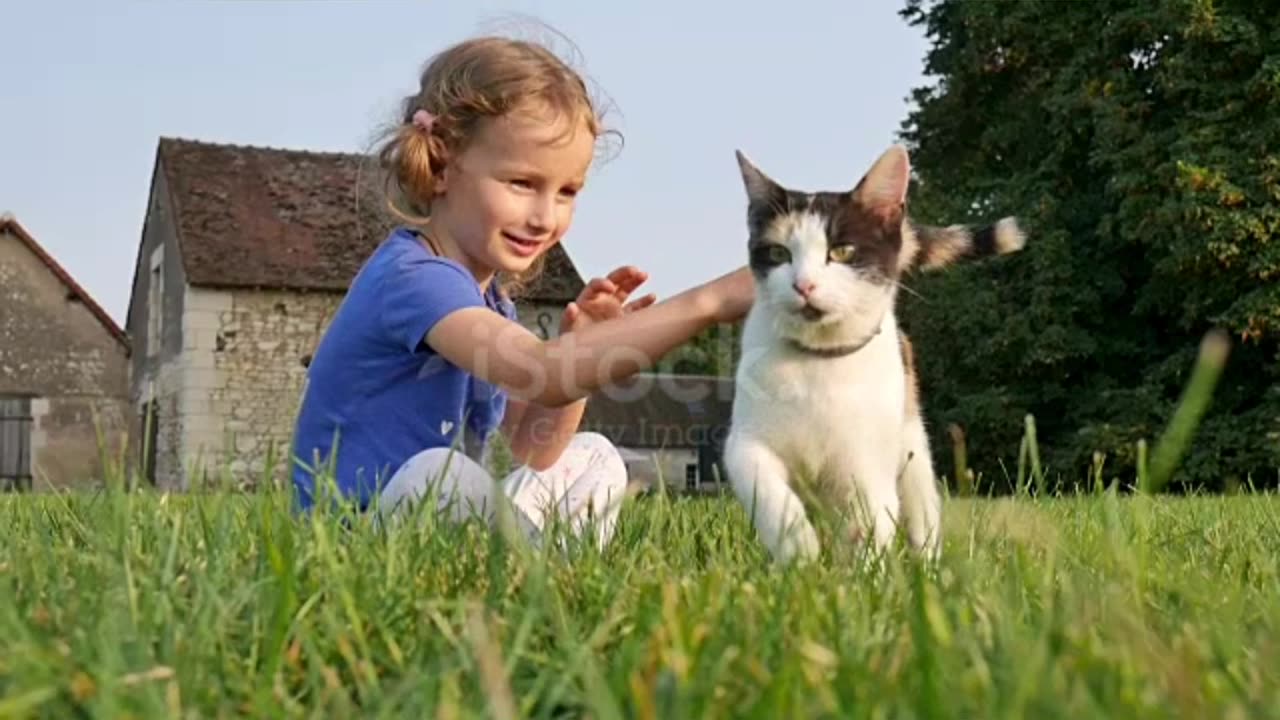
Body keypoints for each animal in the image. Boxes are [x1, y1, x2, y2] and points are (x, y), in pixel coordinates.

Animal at [721, 142, 1029, 563]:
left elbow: (870, 524)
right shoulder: (745, 443)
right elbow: (766, 490)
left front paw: (861, 575)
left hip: (911, 437)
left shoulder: (867, 468)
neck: (818, 361)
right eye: (778, 253)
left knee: (921, 507)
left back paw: (927, 564)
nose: (804, 285)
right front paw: (798, 550)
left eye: (842, 251)